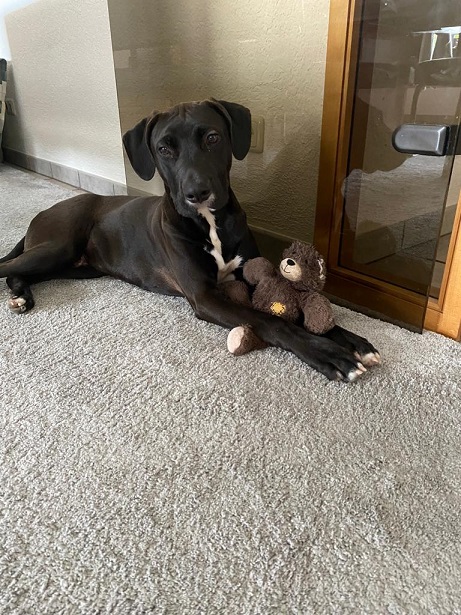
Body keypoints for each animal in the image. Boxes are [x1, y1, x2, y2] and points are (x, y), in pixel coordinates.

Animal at [0, 99, 380, 381]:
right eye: (163, 149)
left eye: (212, 138)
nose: (197, 193)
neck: (209, 223)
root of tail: (45, 211)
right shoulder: (204, 295)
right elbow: (273, 320)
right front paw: (328, 354)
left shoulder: (250, 275)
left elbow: (297, 310)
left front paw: (353, 341)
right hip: (57, 248)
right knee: (8, 267)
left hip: (78, 266)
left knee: (17, 272)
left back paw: (21, 297)